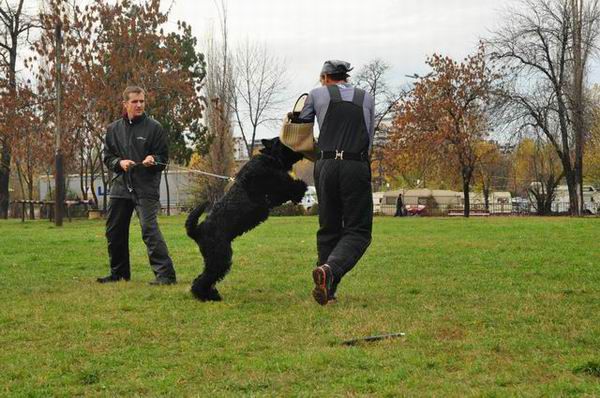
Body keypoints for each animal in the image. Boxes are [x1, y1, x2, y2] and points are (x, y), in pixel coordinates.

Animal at [186, 138, 310, 302]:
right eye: (283, 142)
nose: (299, 148)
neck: (270, 157)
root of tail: (197, 231)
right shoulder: (275, 188)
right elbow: (291, 187)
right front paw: (301, 189)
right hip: (220, 257)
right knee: (203, 279)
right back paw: (206, 296)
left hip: (213, 258)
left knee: (203, 277)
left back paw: (211, 295)